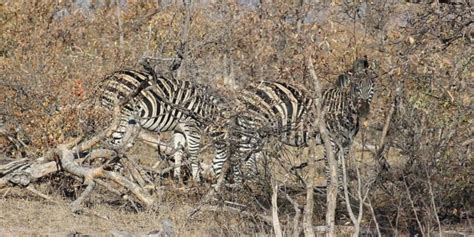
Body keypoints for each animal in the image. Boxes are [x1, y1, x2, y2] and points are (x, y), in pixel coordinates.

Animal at [97, 67, 227, 182]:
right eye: (226, 163)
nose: (215, 182)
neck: (207, 112)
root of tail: (107, 79)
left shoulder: (179, 129)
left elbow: (178, 152)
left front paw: (177, 179)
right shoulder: (191, 126)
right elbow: (194, 153)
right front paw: (197, 181)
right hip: (121, 116)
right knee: (113, 145)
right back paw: (116, 171)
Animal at [214, 58, 374, 184]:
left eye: (372, 84)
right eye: (356, 85)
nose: (364, 109)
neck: (344, 109)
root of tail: (245, 89)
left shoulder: (346, 144)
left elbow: (342, 172)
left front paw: (344, 197)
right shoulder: (331, 141)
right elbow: (331, 171)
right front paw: (334, 198)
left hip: (255, 131)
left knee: (242, 157)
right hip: (252, 127)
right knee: (238, 157)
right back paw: (243, 190)